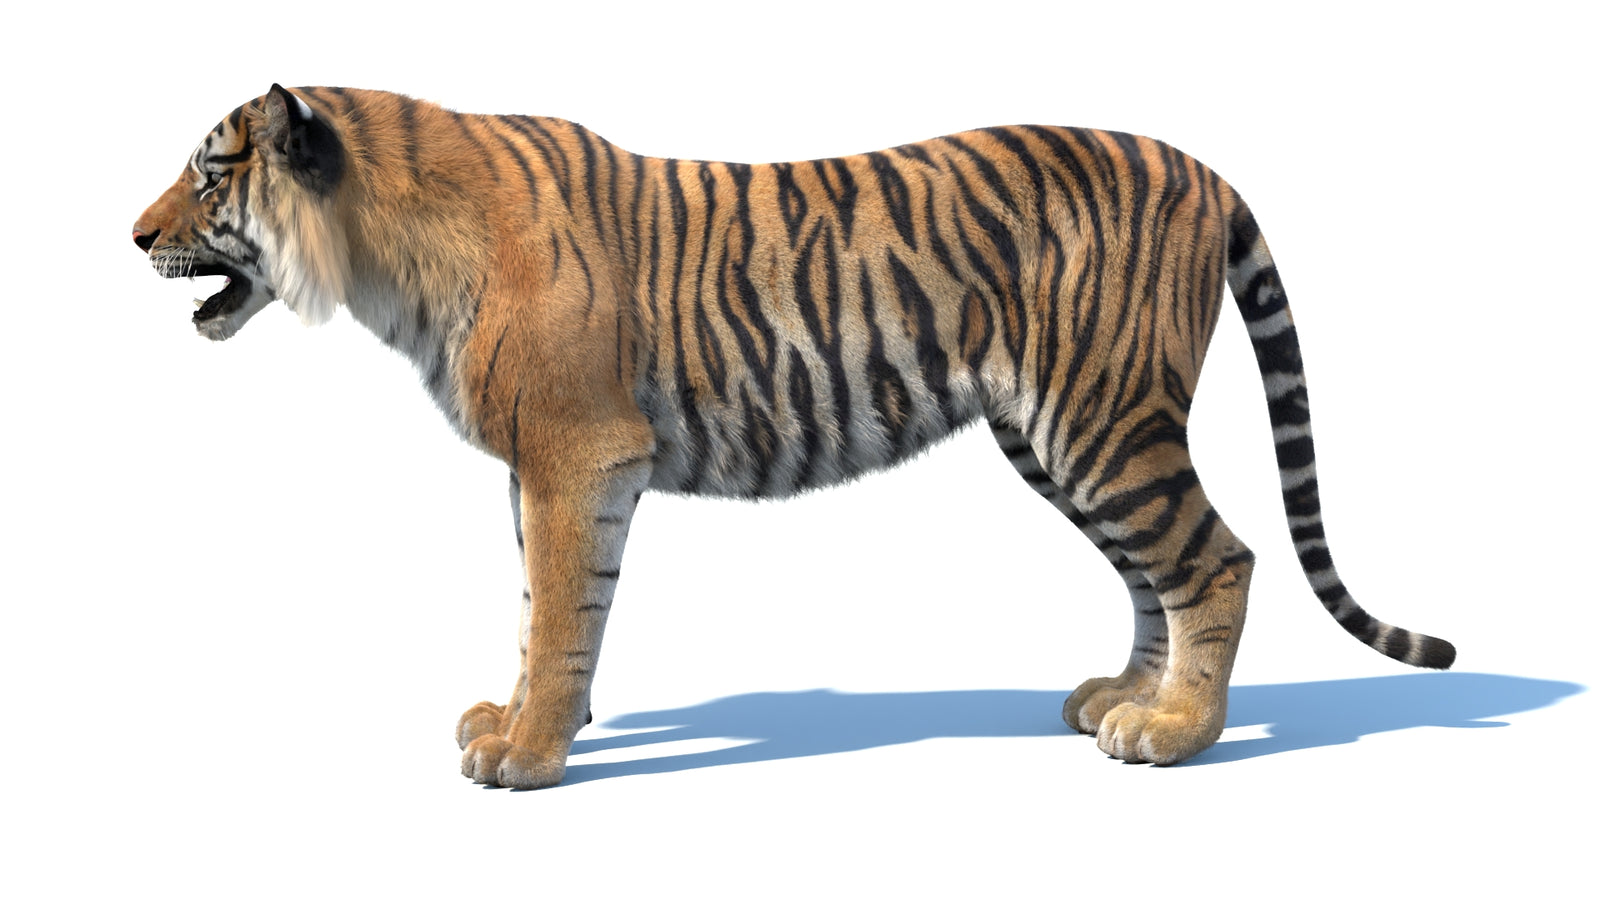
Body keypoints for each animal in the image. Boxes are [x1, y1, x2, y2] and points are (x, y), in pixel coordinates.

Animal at [133, 85, 1454, 788]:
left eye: (209, 180)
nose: (131, 234)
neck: (380, 259)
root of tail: (1202, 167)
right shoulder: (545, 469)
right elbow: (540, 608)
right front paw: (518, 722)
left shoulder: (574, 454)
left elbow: (558, 611)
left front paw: (528, 754)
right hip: (1057, 435)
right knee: (1152, 570)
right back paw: (1121, 697)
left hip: (1099, 415)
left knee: (1215, 557)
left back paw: (1174, 734)